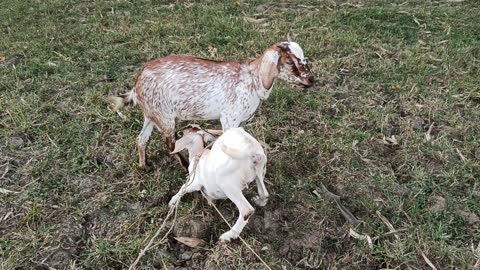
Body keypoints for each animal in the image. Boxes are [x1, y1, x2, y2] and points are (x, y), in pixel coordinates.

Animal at [111, 39, 316, 168]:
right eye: (290, 62)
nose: (311, 80)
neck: (252, 78)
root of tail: (137, 83)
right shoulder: (229, 119)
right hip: (166, 117)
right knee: (169, 144)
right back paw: (185, 165)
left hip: (152, 114)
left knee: (141, 139)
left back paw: (144, 165)